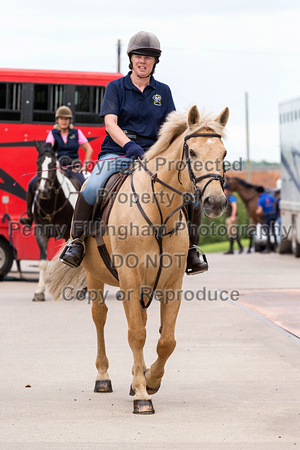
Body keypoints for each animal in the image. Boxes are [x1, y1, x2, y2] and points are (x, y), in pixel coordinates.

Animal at [32, 142, 81, 300]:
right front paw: (39, 292)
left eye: (53, 164)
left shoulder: (68, 233)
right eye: (38, 163)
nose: (44, 191)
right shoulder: (41, 233)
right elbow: (42, 263)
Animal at [44, 105, 229, 414]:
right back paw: (103, 377)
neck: (158, 212)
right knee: (100, 317)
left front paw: (149, 381)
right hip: (95, 276)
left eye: (224, 154)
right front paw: (142, 395)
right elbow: (136, 334)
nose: (215, 202)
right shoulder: (129, 279)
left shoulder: (172, 284)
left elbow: (166, 340)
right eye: (191, 152)